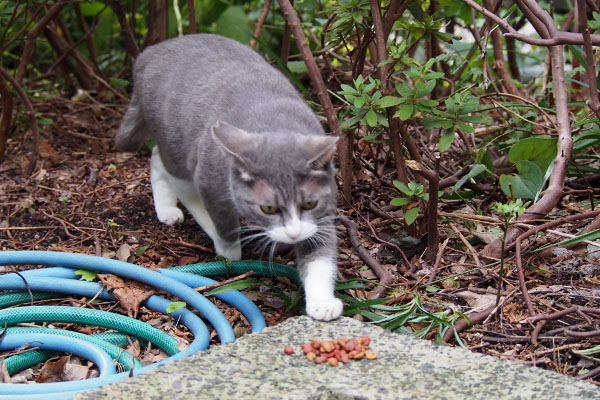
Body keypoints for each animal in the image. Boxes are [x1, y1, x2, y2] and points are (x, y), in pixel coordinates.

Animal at [116, 34, 342, 322]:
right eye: (268, 208)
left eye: (310, 204)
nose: (293, 234)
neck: (275, 124)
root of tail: (150, 52)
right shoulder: (210, 180)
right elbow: (221, 220)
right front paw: (230, 250)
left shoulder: (322, 213)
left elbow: (320, 254)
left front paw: (322, 302)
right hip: (175, 139)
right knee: (172, 170)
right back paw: (173, 211)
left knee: (155, 155)